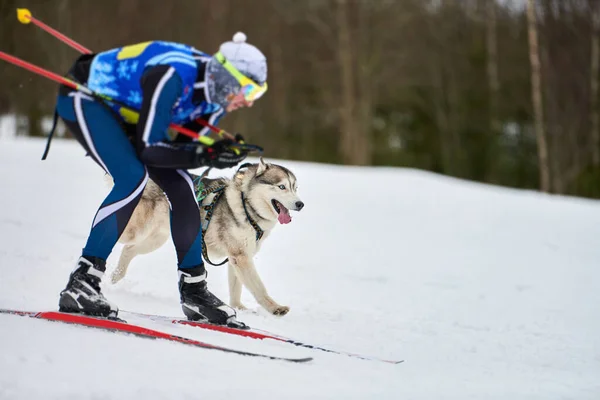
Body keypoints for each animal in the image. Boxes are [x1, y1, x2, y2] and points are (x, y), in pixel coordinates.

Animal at [109, 158, 302, 318]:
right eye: (282, 187)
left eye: (295, 188)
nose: (301, 204)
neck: (246, 205)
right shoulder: (241, 258)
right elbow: (259, 288)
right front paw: (275, 308)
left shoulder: (236, 257)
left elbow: (236, 288)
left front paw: (238, 307)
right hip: (136, 230)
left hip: (155, 240)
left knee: (128, 249)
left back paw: (115, 277)